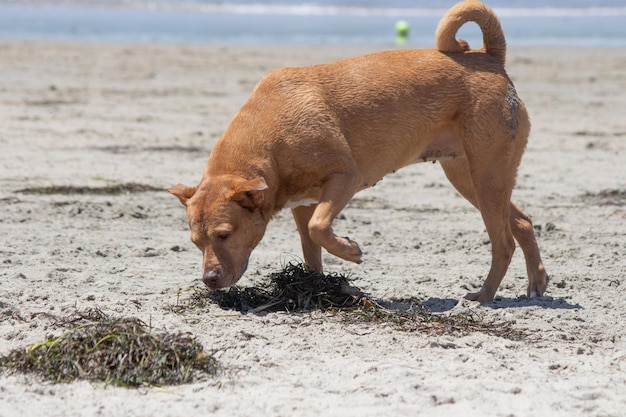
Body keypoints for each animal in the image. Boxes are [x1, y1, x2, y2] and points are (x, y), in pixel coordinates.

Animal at [169, 0, 544, 300]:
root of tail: (489, 58)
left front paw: (349, 252)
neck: (269, 141)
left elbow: (321, 228)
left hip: (486, 176)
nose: (209, 280)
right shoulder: (302, 205)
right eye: (195, 242)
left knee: (504, 242)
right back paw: (537, 282)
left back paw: (484, 295)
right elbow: (311, 249)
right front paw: (316, 288)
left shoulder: (345, 178)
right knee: (522, 223)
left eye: (224, 234)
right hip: (469, 178)